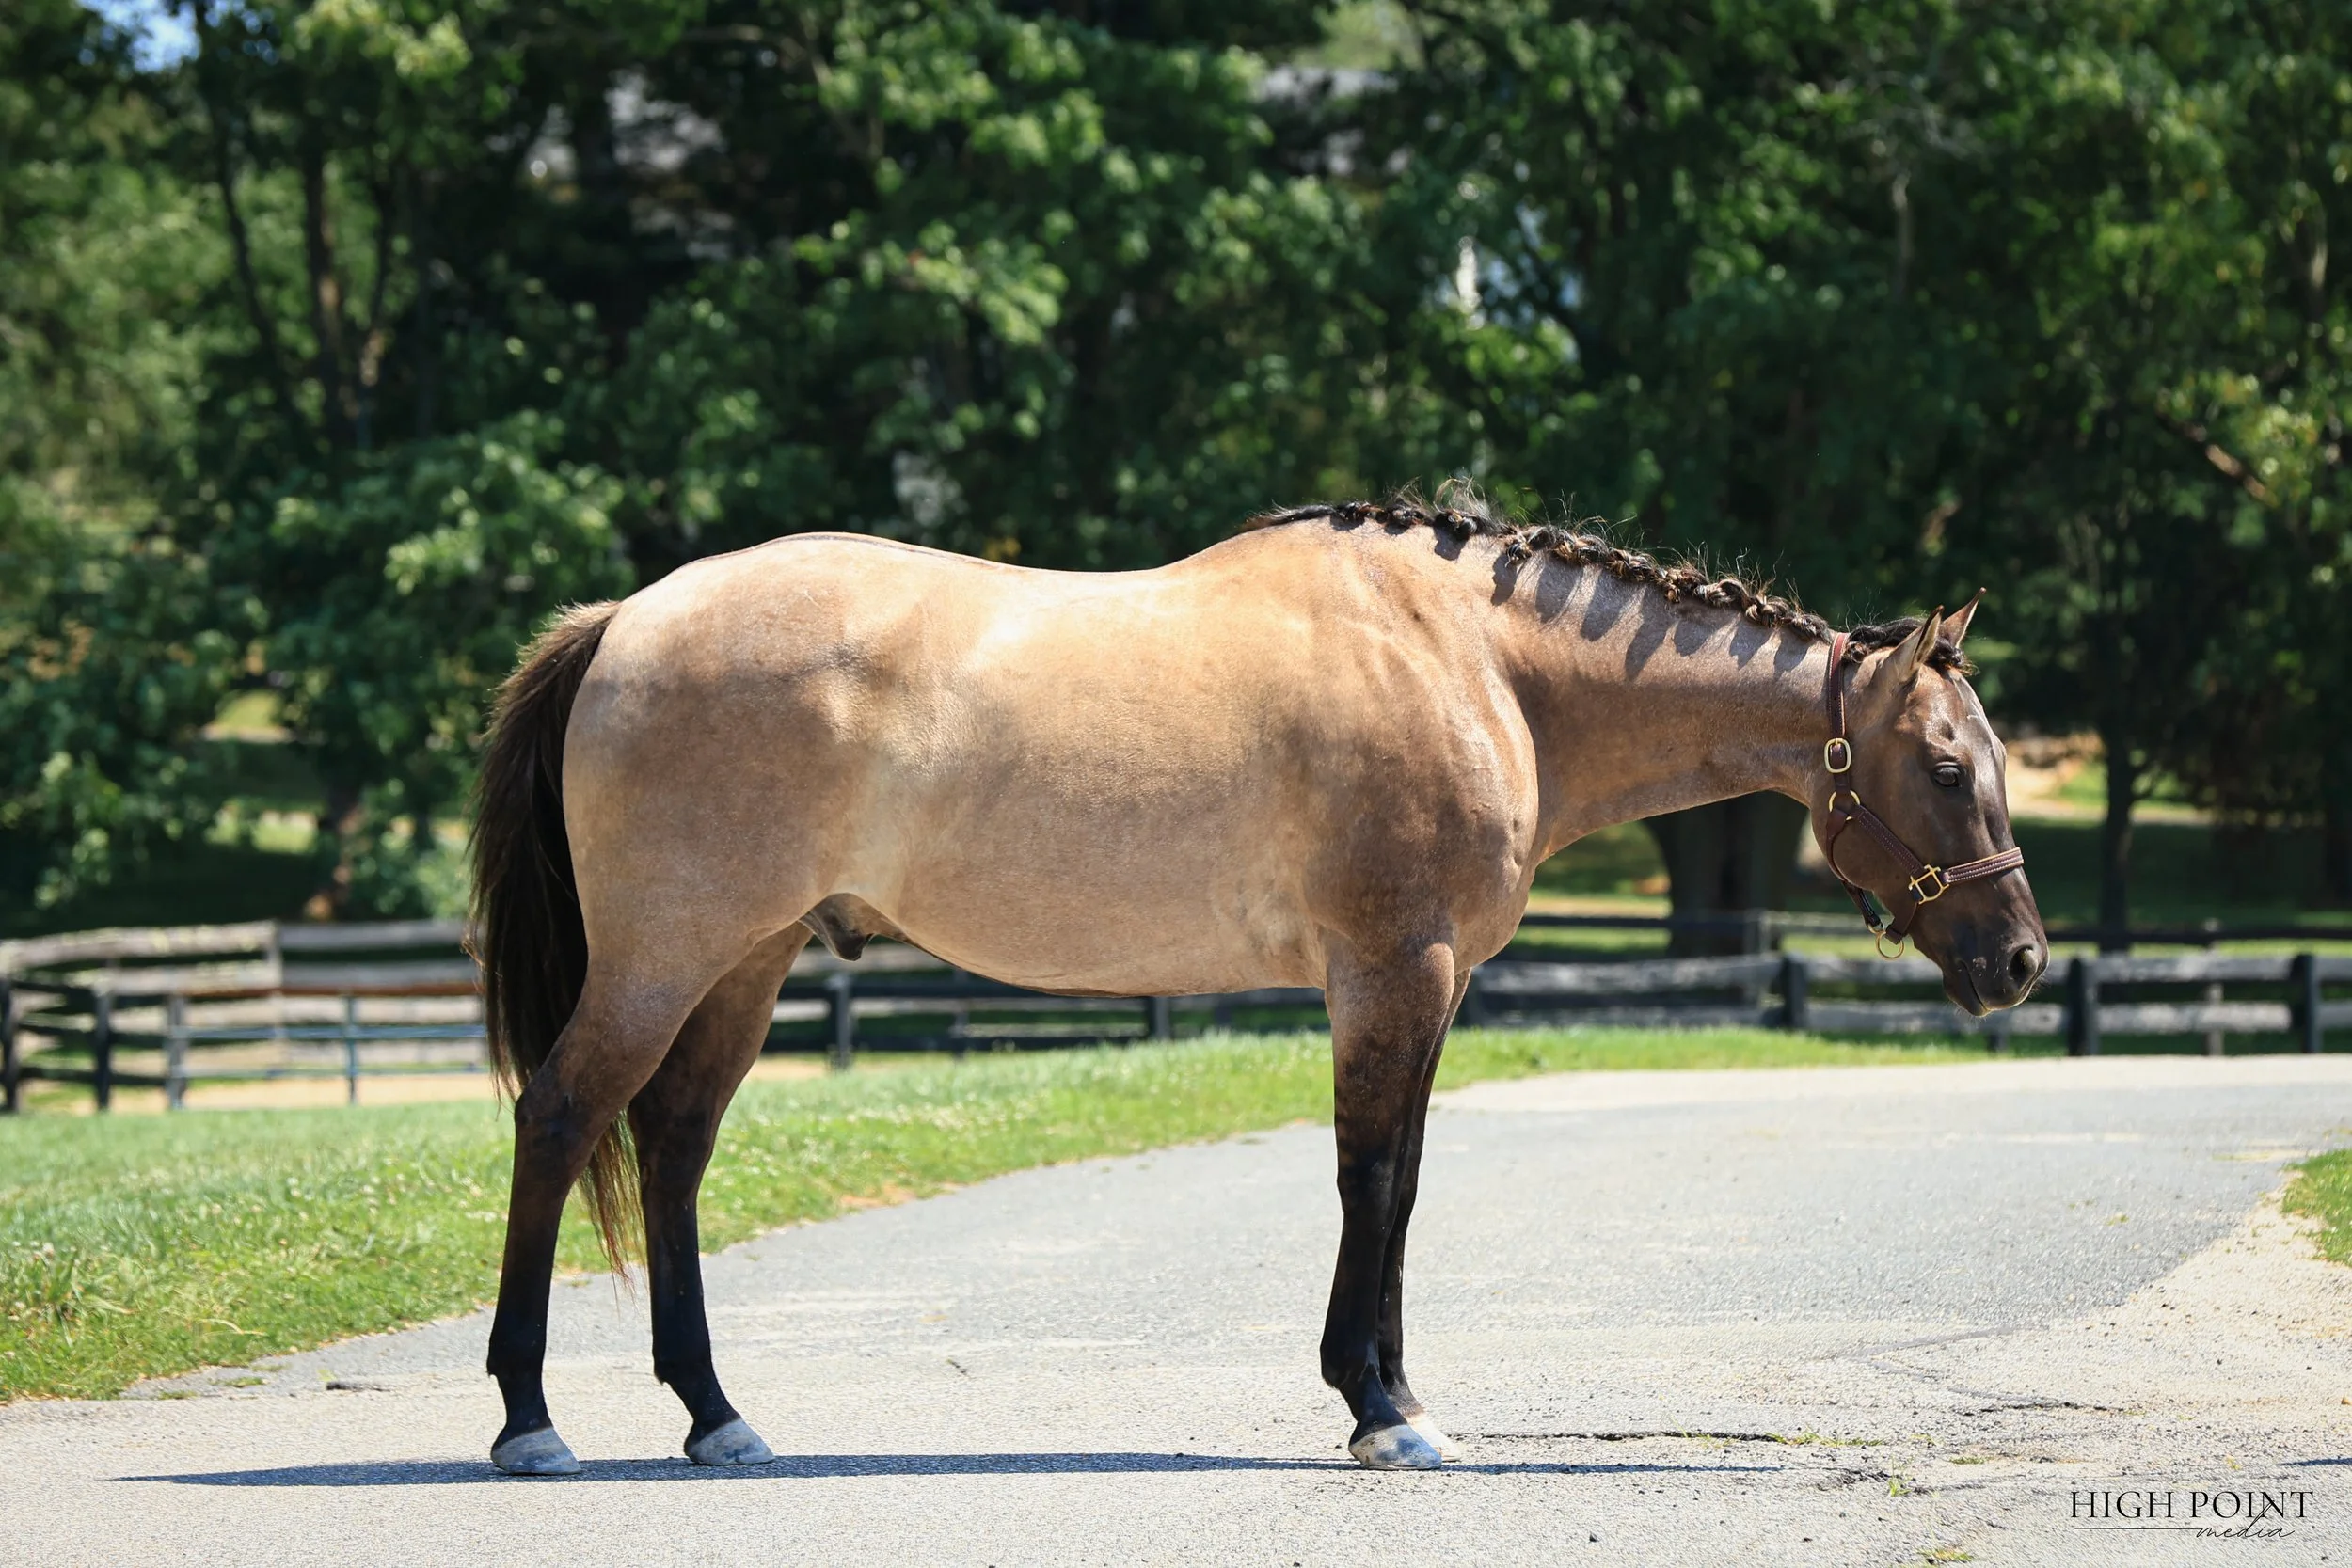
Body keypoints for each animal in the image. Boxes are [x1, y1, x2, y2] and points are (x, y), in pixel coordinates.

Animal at [468, 494, 2045, 1475]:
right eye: (1946, 766)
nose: (2022, 957)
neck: (1482, 662)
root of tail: (629, 616)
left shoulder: (1429, 986)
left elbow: (1403, 1182)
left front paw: (1395, 1393)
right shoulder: (1390, 972)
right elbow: (1371, 1178)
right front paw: (1377, 1403)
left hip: (748, 955)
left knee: (673, 1145)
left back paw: (716, 1414)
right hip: (669, 953)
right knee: (560, 1118)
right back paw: (530, 1419)